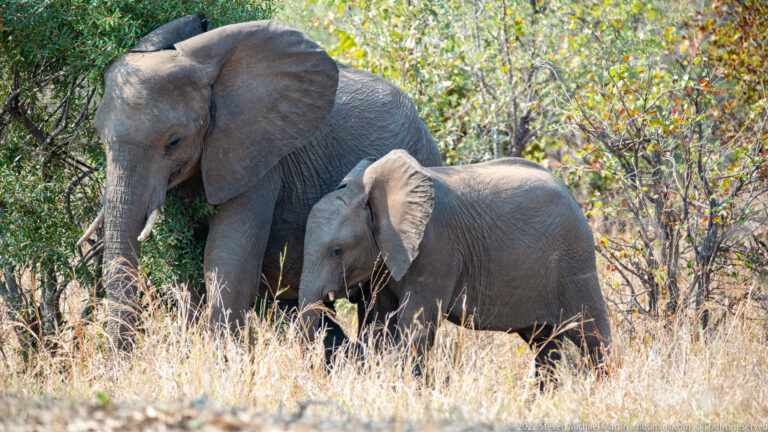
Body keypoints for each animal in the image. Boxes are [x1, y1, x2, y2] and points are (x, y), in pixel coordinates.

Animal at [80, 15, 442, 351]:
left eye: (174, 140)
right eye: (99, 135)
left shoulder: (259, 158)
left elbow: (228, 262)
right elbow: (184, 265)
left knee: (377, 302)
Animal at [298, 149, 612, 379]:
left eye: (337, 250)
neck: (370, 192)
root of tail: (570, 194)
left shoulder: (436, 247)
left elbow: (415, 325)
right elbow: (380, 323)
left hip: (575, 258)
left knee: (591, 336)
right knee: (544, 343)